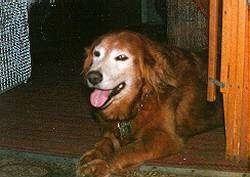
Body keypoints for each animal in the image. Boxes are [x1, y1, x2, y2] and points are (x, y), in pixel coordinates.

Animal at [76, 30, 223, 177]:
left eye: (121, 57)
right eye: (96, 54)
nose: (92, 77)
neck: (143, 98)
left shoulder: (164, 137)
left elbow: (127, 150)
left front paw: (99, 164)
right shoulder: (111, 129)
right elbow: (104, 141)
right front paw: (93, 154)